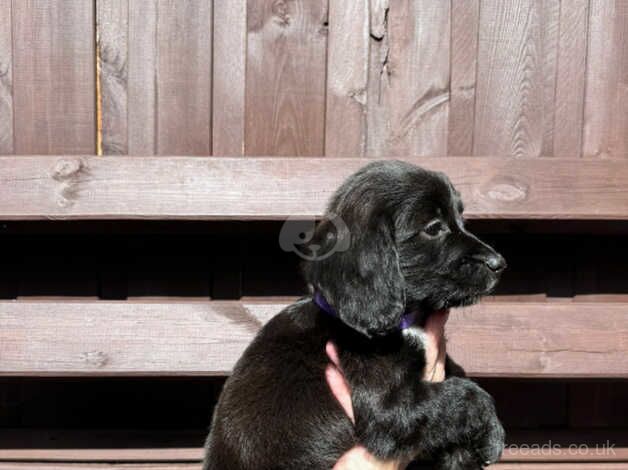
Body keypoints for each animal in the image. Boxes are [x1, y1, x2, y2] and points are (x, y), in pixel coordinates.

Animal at [204, 160, 508, 468]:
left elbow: (458, 377)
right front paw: (491, 434)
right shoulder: (389, 407)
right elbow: (467, 394)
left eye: (462, 220)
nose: (499, 264)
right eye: (434, 228)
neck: (406, 321)